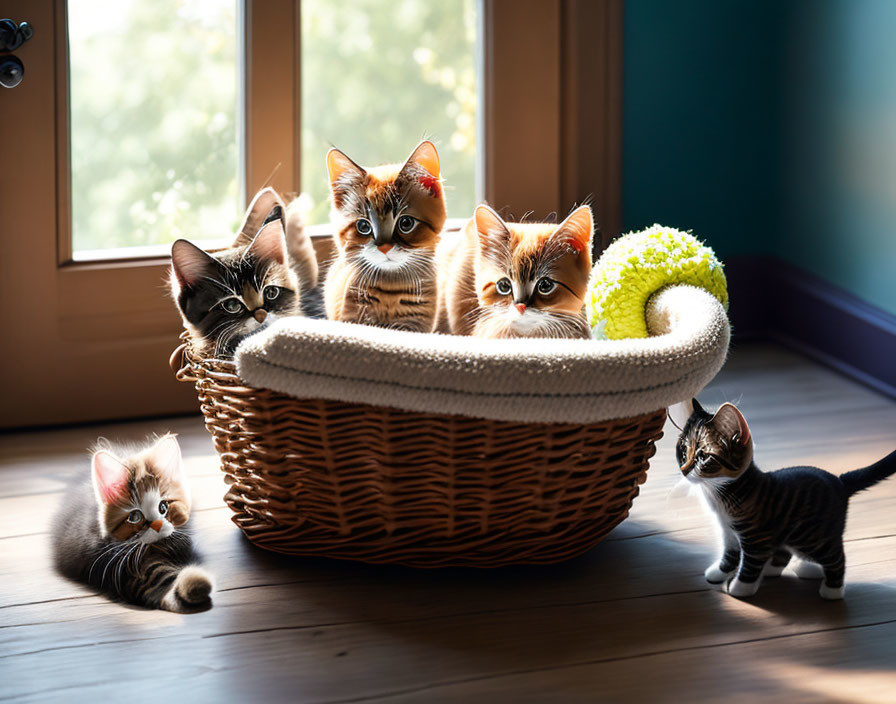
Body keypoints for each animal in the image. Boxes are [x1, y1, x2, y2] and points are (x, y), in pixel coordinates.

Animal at [53, 434, 214, 612]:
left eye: (163, 507)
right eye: (135, 516)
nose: (157, 525)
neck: (159, 546)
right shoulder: (120, 568)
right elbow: (155, 580)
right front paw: (192, 584)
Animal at [676, 398, 896, 604]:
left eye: (703, 456)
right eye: (683, 449)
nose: (684, 469)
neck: (723, 493)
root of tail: (840, 481)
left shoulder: (756, 538)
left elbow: (750, 564)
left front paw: (741, 588)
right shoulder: (728, 530)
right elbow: (730, 554)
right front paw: (719, 573)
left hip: (814, 536)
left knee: (836, 557)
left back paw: (831, 590)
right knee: (787, 553)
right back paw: (788, 569)